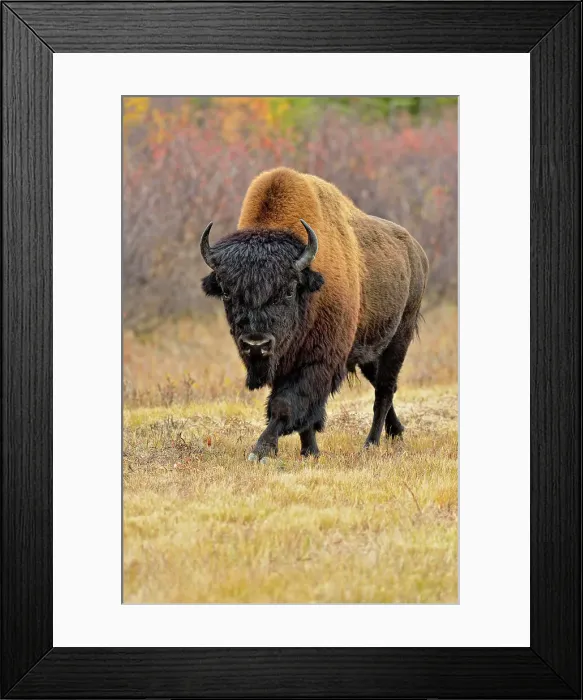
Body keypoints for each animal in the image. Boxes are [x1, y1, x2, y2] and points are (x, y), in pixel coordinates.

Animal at [201, 167, 429, 461]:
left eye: (288, 290)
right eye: (227, 293)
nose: (256, 344)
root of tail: (417, 252)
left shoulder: (318, 361)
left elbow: (286, 405)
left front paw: (261, 450)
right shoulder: (284, 362)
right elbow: (301, 415)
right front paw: (310, 451)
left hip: (399, 339)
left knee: (385, 390)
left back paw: (371, 443)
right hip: (368, 349)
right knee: (382, 385)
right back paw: (396, 432)